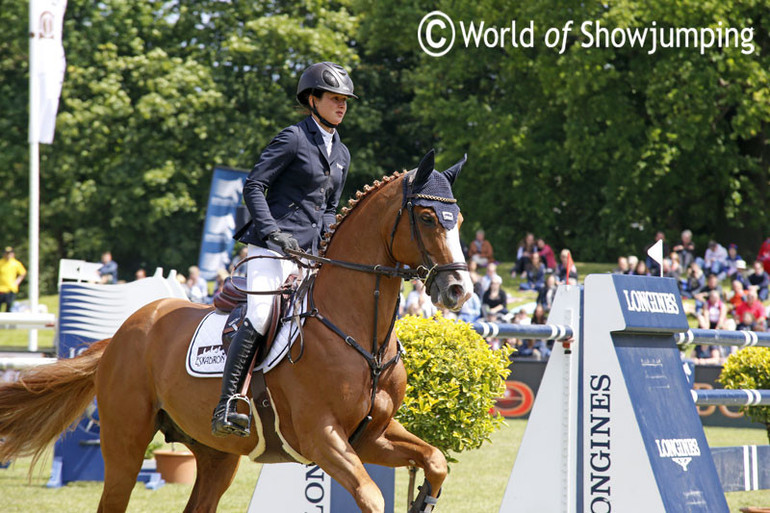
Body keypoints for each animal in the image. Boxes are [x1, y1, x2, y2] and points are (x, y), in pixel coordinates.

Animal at [0, 150, 468, 510]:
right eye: (428, 217)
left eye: (459, 220)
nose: (458, 289)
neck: (359, 334)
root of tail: (120, 335)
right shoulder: (322, 437)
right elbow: (371, 496)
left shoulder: (371, 436)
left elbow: (436, 460)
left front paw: (423, 497)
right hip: (126, 446)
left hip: (216, 456)